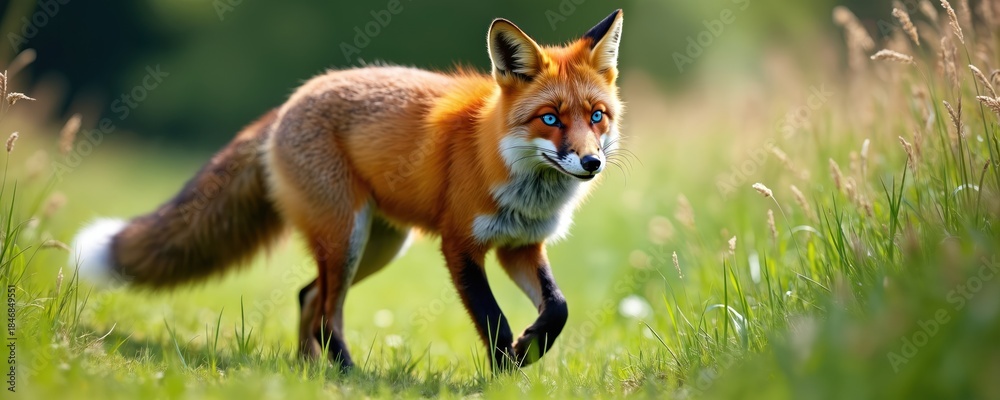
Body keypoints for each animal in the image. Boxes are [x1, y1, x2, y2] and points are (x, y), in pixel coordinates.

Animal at [70, 9, 624, 371]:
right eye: (550, 119)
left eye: (597, 116)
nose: (592, 162)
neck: (501, 160)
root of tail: (289, 102)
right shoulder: (460, 245)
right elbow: (493, 320)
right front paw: (508, 367)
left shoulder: (520, 245)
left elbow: (557, 308)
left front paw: (530, 351)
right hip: (346, 237)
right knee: (326, 312)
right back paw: (345, 373)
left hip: (377, 247)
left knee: (309, 297)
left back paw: (306, 371)